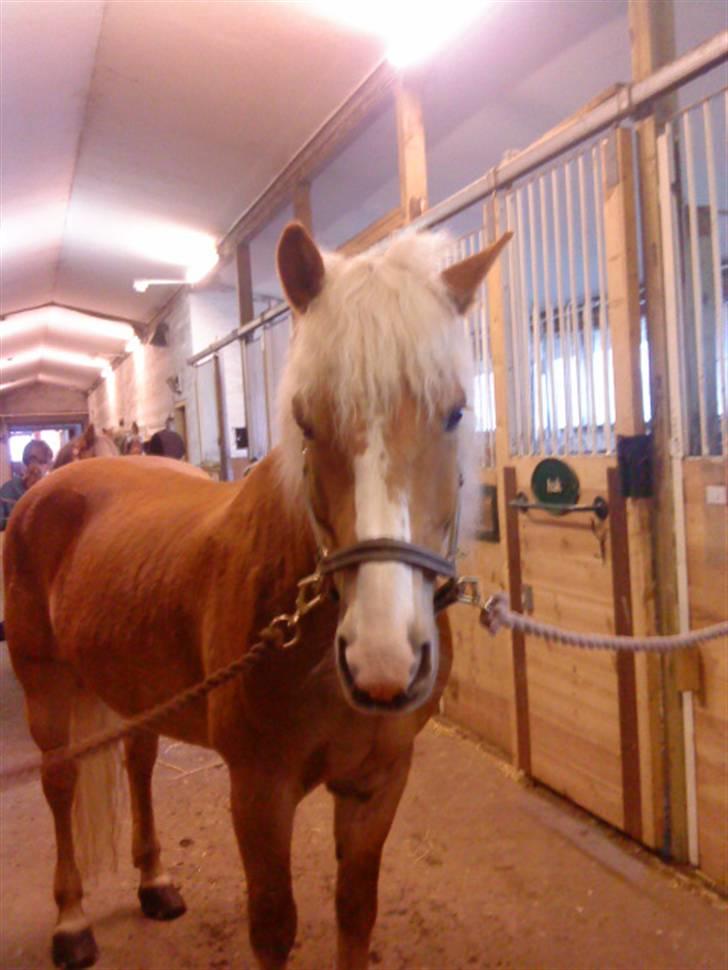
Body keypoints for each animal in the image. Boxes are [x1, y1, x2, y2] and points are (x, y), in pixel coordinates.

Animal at [2, 221, 510, 968]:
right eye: (305, 419)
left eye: (454, 414)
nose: (382, 662)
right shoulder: (258, 792)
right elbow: (273, 925)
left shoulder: (378, 784)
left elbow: (355, 913)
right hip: (47, 687)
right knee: (59, 782)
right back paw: (71, 922)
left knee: (138, 759)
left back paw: (154, 882)